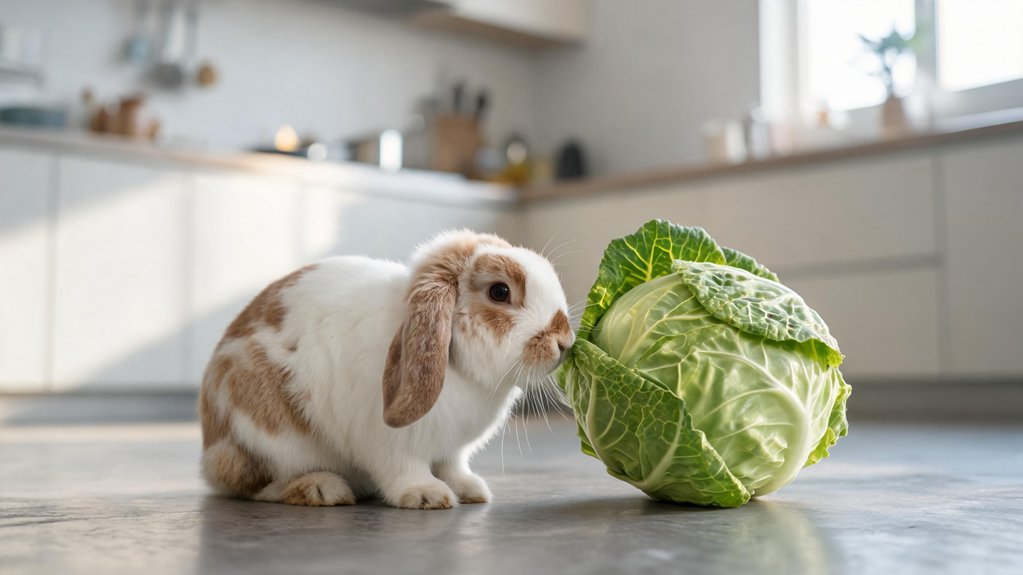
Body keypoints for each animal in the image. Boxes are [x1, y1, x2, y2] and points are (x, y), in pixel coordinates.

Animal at [198, 229, 574, 509]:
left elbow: (452, 466)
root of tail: (210, 450)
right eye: (499, 291)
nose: (565, 341)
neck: (458, 367)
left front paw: (470, 490)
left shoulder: (451, 450)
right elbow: (404, 468)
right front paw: (427, 494)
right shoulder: (388, 443)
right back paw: (321, 488)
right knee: (256, 485)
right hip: (267, 435)